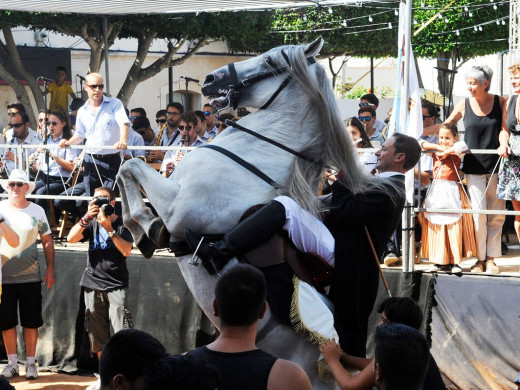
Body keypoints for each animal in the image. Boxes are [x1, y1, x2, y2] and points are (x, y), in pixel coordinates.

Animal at [117, 38, 374, 388]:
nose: (210, 79)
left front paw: (146, 228)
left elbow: (131, 167)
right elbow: (125, 170)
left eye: (268, 61)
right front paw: (135, 228)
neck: (256, 152)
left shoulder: (176, 208)